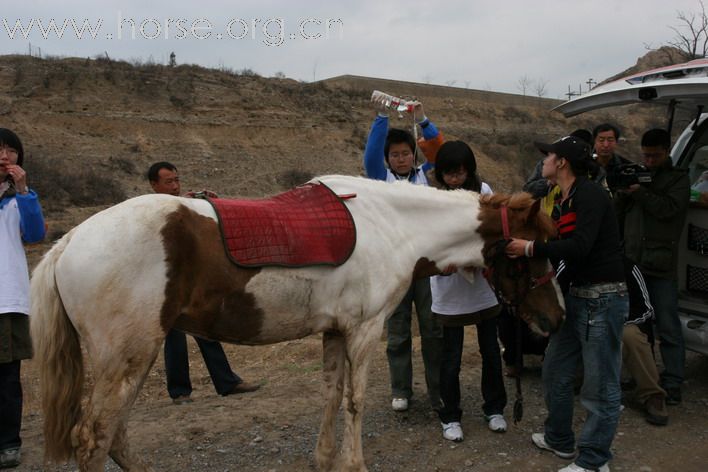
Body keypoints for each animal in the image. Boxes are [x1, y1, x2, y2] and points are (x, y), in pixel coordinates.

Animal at [29, 175, 564, 470]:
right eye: (529, 251)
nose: (555, 319)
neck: (393, 224)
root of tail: (68, 241)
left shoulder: (334, 331)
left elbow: (330, 394)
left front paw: (324, 460)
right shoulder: (364, 330)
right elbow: (353, 402)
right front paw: (352, 464)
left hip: (132, 360)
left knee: (114, 436)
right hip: (128, 358)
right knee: (94, 439)